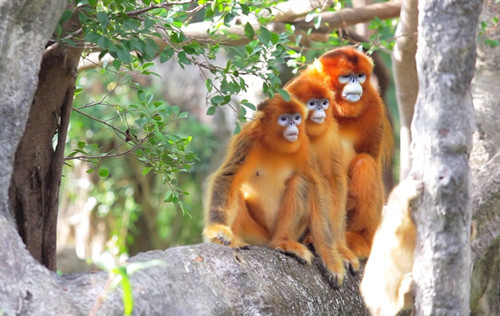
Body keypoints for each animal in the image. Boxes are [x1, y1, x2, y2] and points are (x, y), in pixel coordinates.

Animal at [201, 94, 346, 286]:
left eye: (297, 118)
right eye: (283, 119)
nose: (293, 125)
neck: (274, 145)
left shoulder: (303, 144)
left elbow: (316, 185)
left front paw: (330, 259)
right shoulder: (247, 139)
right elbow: (228, 177)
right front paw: (217, 230)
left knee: (300, 182)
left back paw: (283, 243)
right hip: (256, 235)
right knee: (236, 190)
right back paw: (235, 243)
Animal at [286, 75, 360, 276]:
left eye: (324, 102)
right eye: (312, 103)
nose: (320, 109)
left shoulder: (331, 135)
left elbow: (335, 181)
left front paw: (340, 250)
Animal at [300, 47, 394, 260]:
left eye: (359, 76)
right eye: (346, 76)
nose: (354, 82)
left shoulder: (374, 103)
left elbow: (370, 155)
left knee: (365, 163)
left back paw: (358, 238)